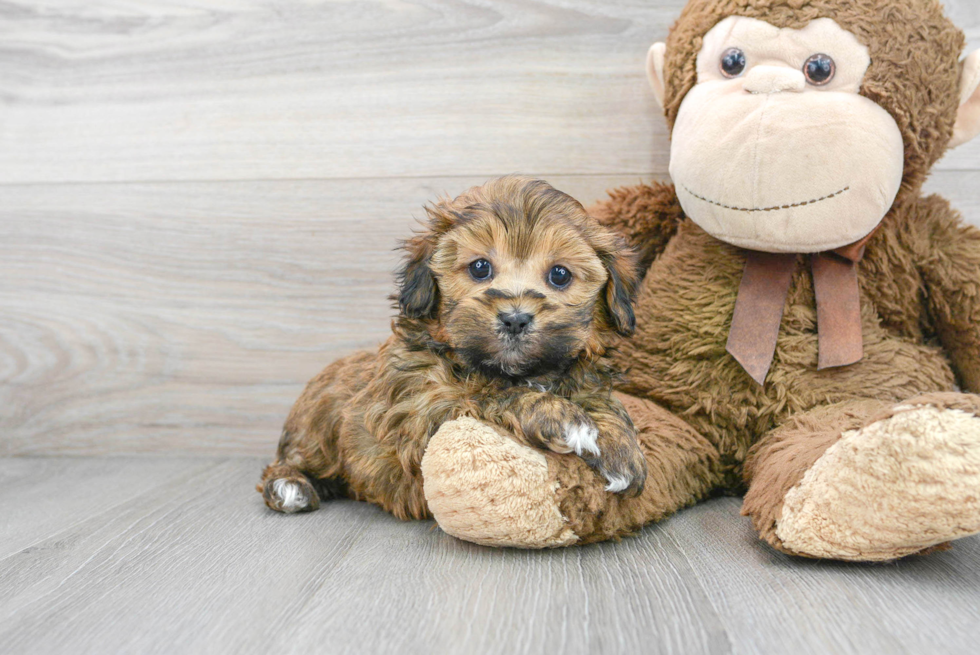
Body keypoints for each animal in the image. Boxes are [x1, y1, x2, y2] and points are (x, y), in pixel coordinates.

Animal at [256, 177, 648, 520]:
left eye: (560, 275)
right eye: (480, 267)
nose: (515, 319)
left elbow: (604, 403)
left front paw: (621, 448)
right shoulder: (420, 411)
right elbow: (485, 392)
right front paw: (561, 417)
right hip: (316, 429)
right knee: (292, 460)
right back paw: (289, 486)